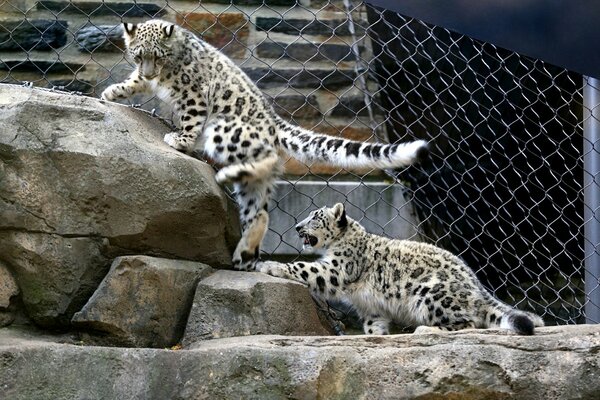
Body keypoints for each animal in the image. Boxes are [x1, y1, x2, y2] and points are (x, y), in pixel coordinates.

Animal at [101, 18, 428, 268]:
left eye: (159, 56)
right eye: (137, 55)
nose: (149, 71)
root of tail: (273, 123)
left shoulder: (193, 94)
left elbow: (191, 119)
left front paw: (180, 138)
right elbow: (133, 82)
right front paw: (112, 92)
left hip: (225, 130)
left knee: (268, 160)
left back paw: (224, 175)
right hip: (251, 188)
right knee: (258, 210)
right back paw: (244, 251)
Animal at [255, 203, 548, 334]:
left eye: (316, 217)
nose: (297, 227)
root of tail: (476, 285)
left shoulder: (337, 268)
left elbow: (304, 268)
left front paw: (269, 265)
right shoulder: (371, 307)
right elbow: (373, 325)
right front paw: (376, 337)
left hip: (430, 294)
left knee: (469, 323)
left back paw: (426, 330)